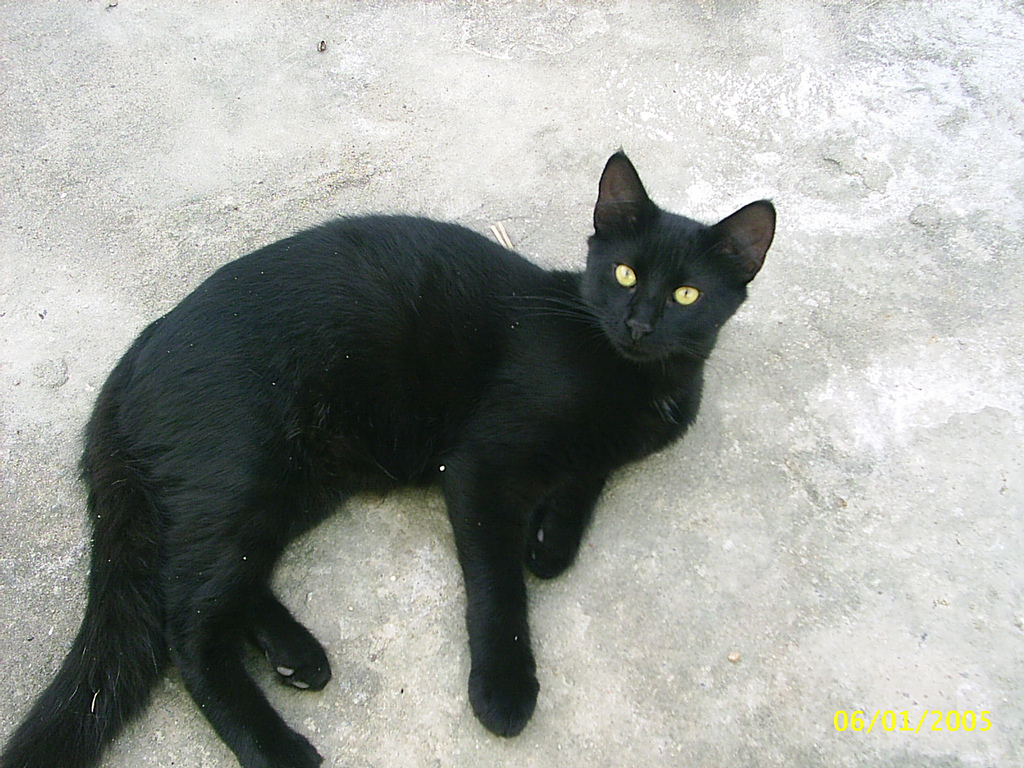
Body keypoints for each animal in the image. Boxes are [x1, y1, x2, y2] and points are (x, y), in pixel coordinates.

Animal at [1, 151, 774, 768]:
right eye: (622, 274)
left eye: (687, 294)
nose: (638, 324)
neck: (631, 378)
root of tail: (137, 353)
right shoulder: (478, 467)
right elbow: (499, 587)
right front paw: (504, 689)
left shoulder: (599, 455)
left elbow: (581, 487)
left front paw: (550, 543)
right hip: (246, 472)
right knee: (184, 624)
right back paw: (278, 749)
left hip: (296, 480)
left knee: (195, 585)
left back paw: (295, 654)